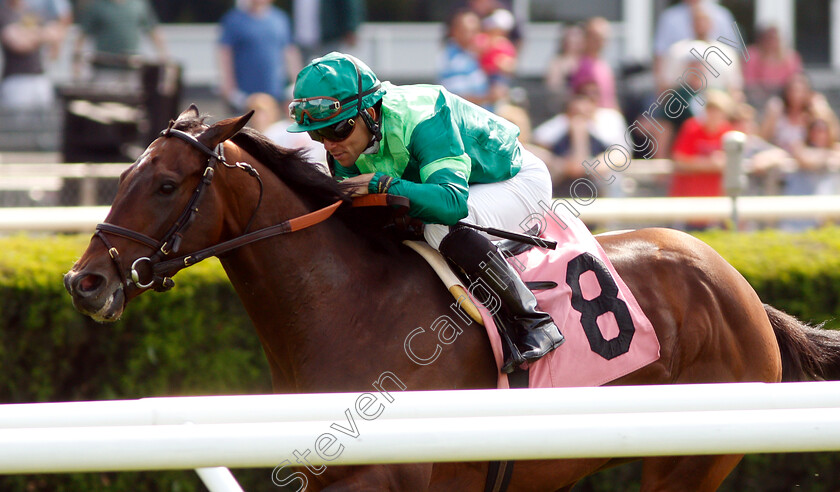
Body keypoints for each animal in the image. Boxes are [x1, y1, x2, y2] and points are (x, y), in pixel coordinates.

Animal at [64, 105, 840, 490]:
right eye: (123, 173)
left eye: (166, 184)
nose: (85, 281)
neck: (350, 307)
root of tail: (738, 285)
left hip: (688, 464)